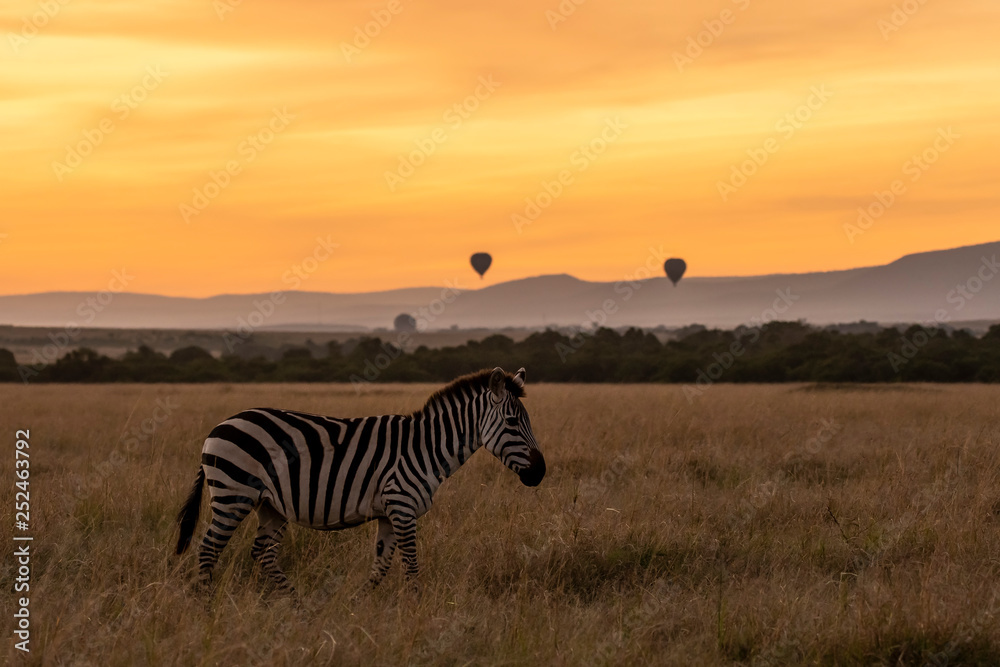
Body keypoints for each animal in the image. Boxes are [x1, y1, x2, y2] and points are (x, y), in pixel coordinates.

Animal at [175, 366, 545, 592]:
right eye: (513, 422)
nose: (540, 472)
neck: (425, 448)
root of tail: (218, 427)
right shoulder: (402, 507)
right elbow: (411, 566)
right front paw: (416, 611)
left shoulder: (388, 513)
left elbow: (380, 566)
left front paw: (358, 603)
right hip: (232, 495)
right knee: (208, 550)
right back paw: (207, 605)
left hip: (271, 506)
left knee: (263, 554)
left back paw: (294, 604)